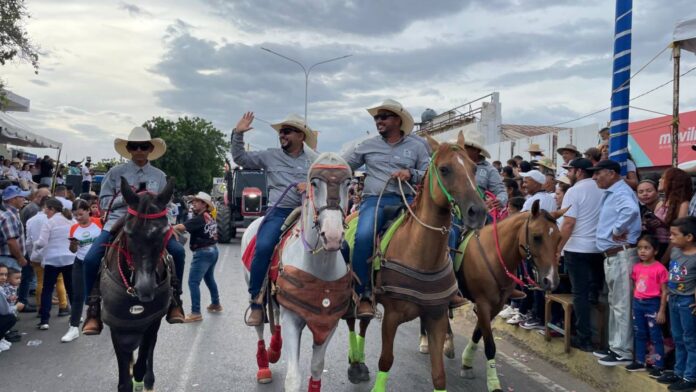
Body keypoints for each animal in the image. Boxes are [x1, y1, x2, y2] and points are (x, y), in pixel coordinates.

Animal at [100, 178, 177, 392]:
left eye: (164, 233)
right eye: (129, 233)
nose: (145, 289)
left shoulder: (153, 321)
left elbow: (142, 360)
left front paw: (141, 377)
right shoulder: (116, 326)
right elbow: (124, 379)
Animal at [243, 154, 354, 392]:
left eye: (348, 184)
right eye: (314, 183)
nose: (332, 236)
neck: (319, 265)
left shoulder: (329, 322)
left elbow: (317, 367)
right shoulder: (293, 319)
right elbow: (293, 378)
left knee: (276, 318)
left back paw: (275, 349)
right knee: (259, 324)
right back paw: (264, 366)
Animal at [368, 132, 486, 392]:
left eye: (474, 168)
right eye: (444, 169)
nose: (478, 213)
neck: (420, 255)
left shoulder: (437, 316)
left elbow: (439, 374)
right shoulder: (391, 317)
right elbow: (385, 360)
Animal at [456, 202, 564, 392]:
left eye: (559, 238)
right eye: (537, 237)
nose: (551, 280)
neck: (493, 255)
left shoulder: (495, 306)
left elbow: (478, 333)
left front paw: (467, 362)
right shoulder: (483, 304)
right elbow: (490, 345)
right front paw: (493, 382)